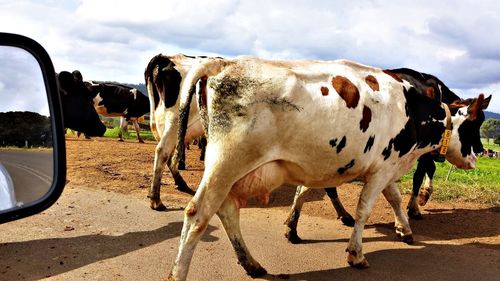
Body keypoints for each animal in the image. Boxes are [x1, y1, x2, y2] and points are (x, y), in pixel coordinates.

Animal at [170, 55, 490, 278]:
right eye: (475, 127)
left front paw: (405, 230)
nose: (479, 155)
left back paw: (252, 264)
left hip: (240, 171)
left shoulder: (387, 166)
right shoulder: (382, 168)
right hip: (227, 163)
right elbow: (364, 209)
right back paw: (179, 273)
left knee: (227, 210)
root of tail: (222, 63)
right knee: (198, 213)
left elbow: (395, 198)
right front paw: (356, 253)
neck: (410, 108)